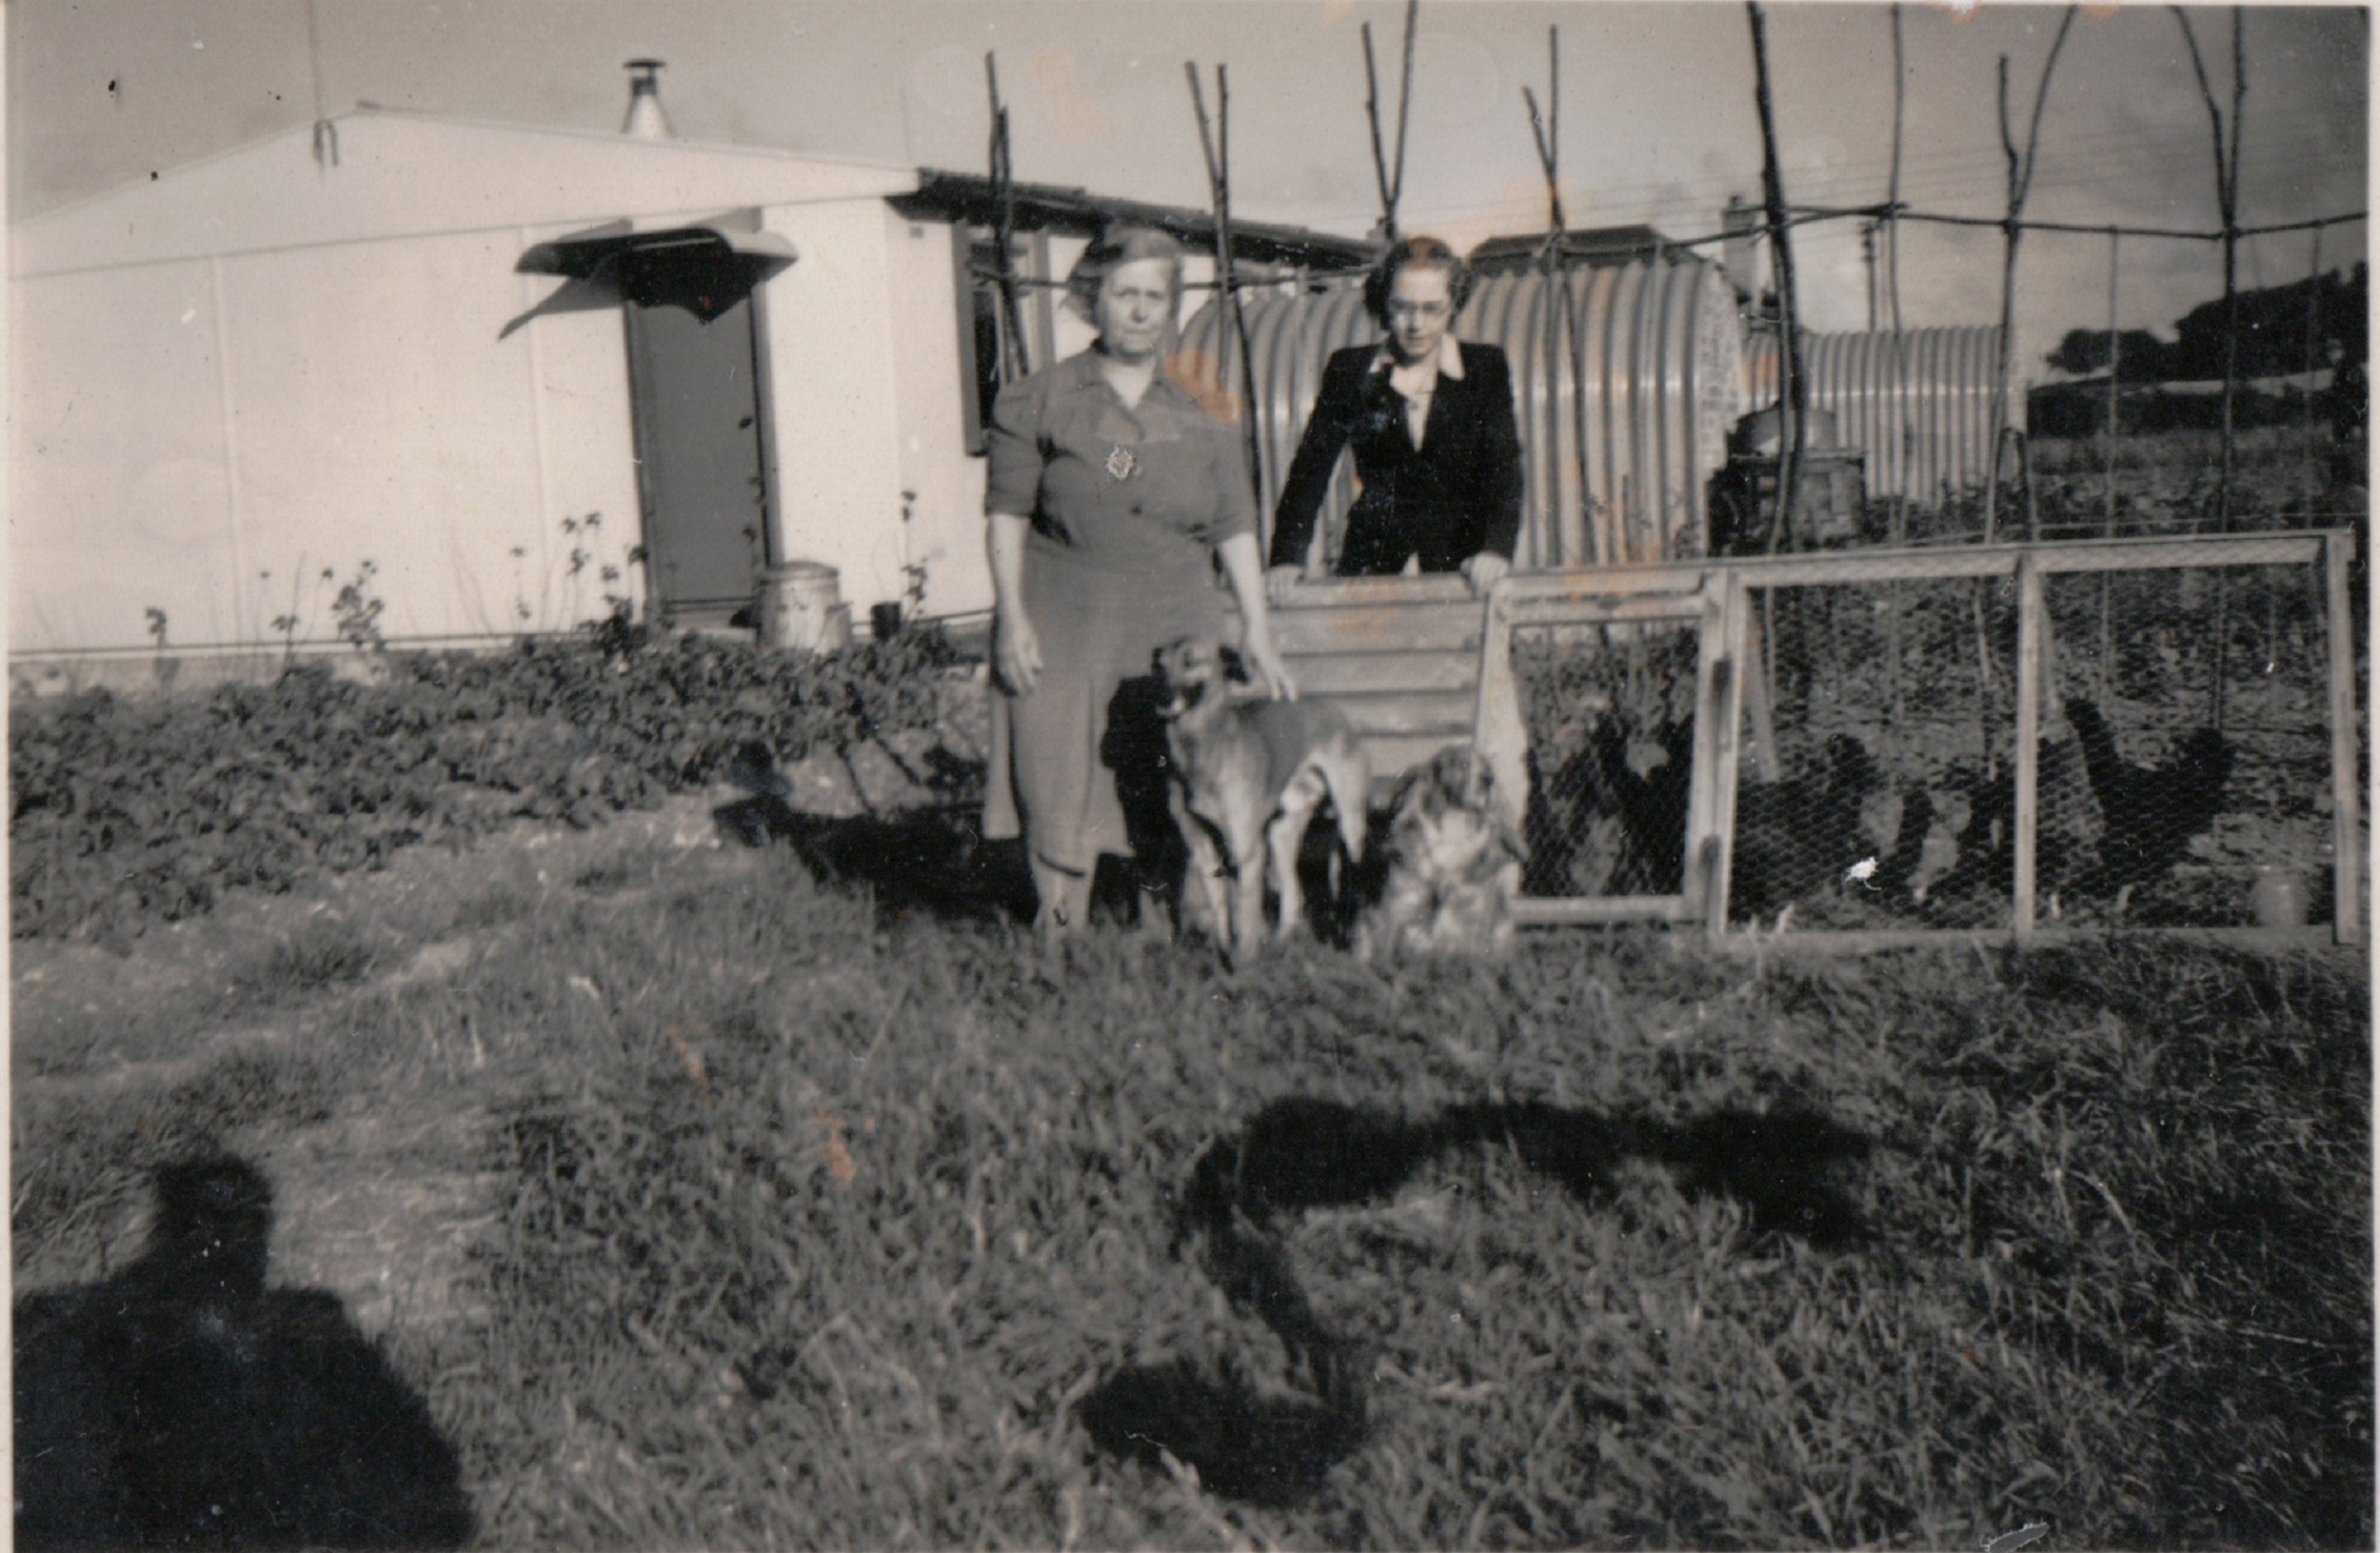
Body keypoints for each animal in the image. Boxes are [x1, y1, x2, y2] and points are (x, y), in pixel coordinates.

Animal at [1147, 638, 1371, 957]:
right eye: (1159, 666)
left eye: (1191, 661)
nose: (1163, 700)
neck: (1202, 750)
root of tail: (1333, 710)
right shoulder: (1203, 848)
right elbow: (1221, 912)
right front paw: (1222, 953)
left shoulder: (1247, 852)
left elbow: (1247, 919)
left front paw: (1244, 962)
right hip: (1280, 834)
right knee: (1293, 894)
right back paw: (1282, 945)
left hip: (1350, 826)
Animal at [1361, 747, 1523, 962]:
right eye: (1460, 764)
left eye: (1487, 767)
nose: (1488, 779)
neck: (1452, 838)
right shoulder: (1400, 909)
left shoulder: (1472, 914)